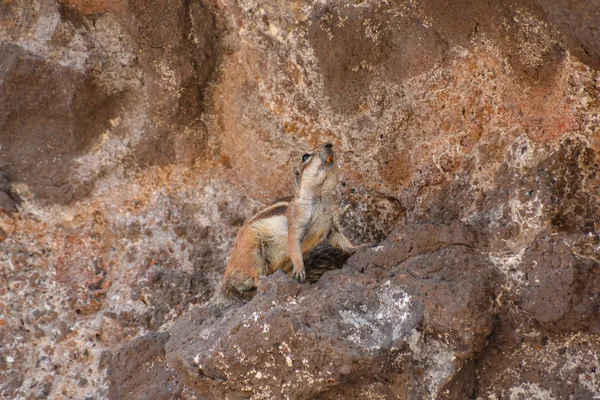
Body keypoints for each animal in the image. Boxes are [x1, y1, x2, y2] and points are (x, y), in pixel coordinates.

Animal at [223, 143, 358, 300]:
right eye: (305, 156)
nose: (329, 144)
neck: (320, 198)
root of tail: (229, 271)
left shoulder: (331, 224)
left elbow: (340, 239)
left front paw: (357, 247)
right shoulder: (296, 220)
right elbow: (293, 243)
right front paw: (300, 268)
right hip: (251, 250)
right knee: (254, 274)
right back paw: (264, 279)